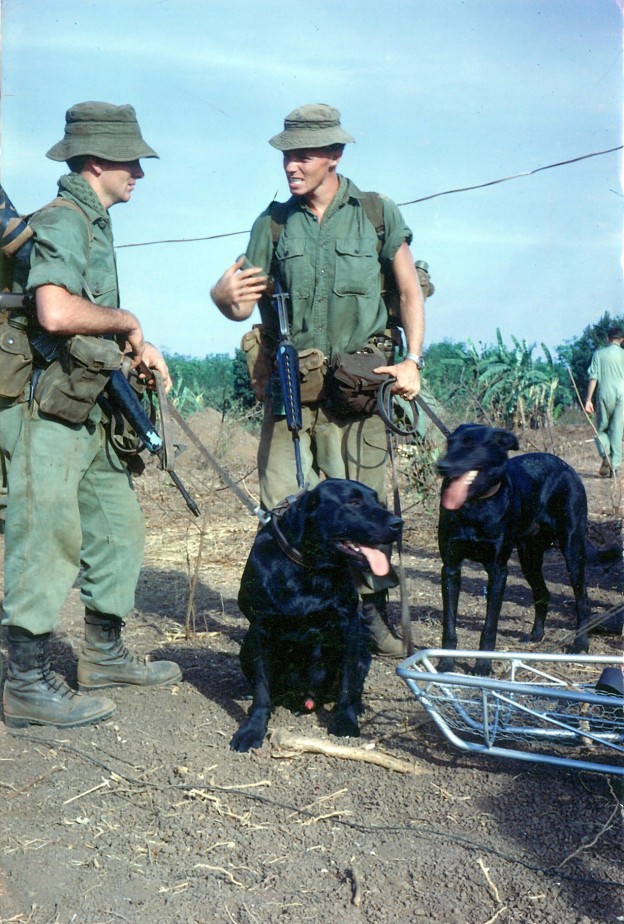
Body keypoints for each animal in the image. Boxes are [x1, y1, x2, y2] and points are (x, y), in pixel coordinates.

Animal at [232, 480, 402, 756]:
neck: (310, 568)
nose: (399, 523)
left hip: (362, 652)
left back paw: (358, 706)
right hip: (245, 649)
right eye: (353, 502)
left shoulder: (348, 627)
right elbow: (262, 690)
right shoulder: (260, 629)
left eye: (377, 500)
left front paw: (345, 719)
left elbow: (346, 684)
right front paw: (252, 729)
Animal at [436, 422, 608, 676]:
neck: (475, 505)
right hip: (529, 556)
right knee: (543, 593)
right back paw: (536, 635)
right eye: (450, 443)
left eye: (470, 444)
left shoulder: (498, 571)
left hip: (572, 549)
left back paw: (580, 643)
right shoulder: (450, 567)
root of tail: (565, 466)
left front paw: (483, 665)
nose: (441, 466)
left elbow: (489, 626)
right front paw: (446, 663)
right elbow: (449, 624)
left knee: (582, 599)